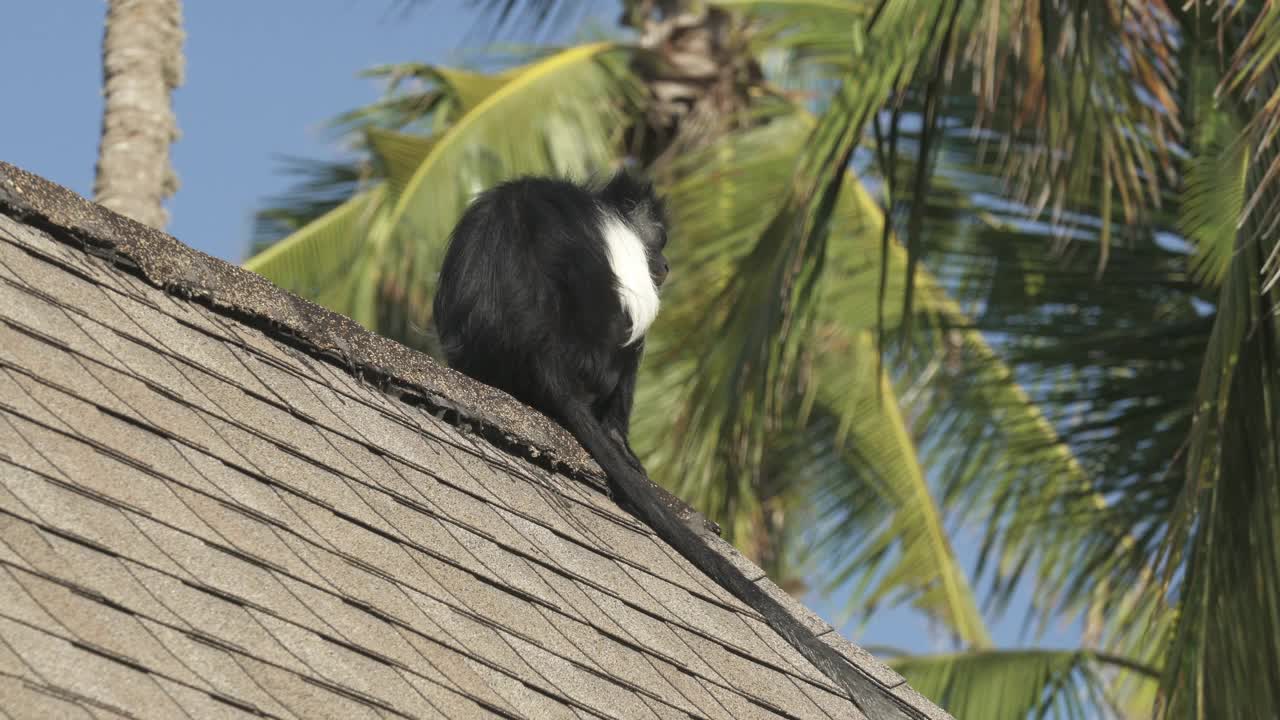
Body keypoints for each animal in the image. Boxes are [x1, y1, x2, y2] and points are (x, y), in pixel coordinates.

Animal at [435, 170, 716, 530]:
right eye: (660, 240)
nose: (665, 264)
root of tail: (540, 347)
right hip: (595, 361)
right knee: (631, 339)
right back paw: (616, 437)